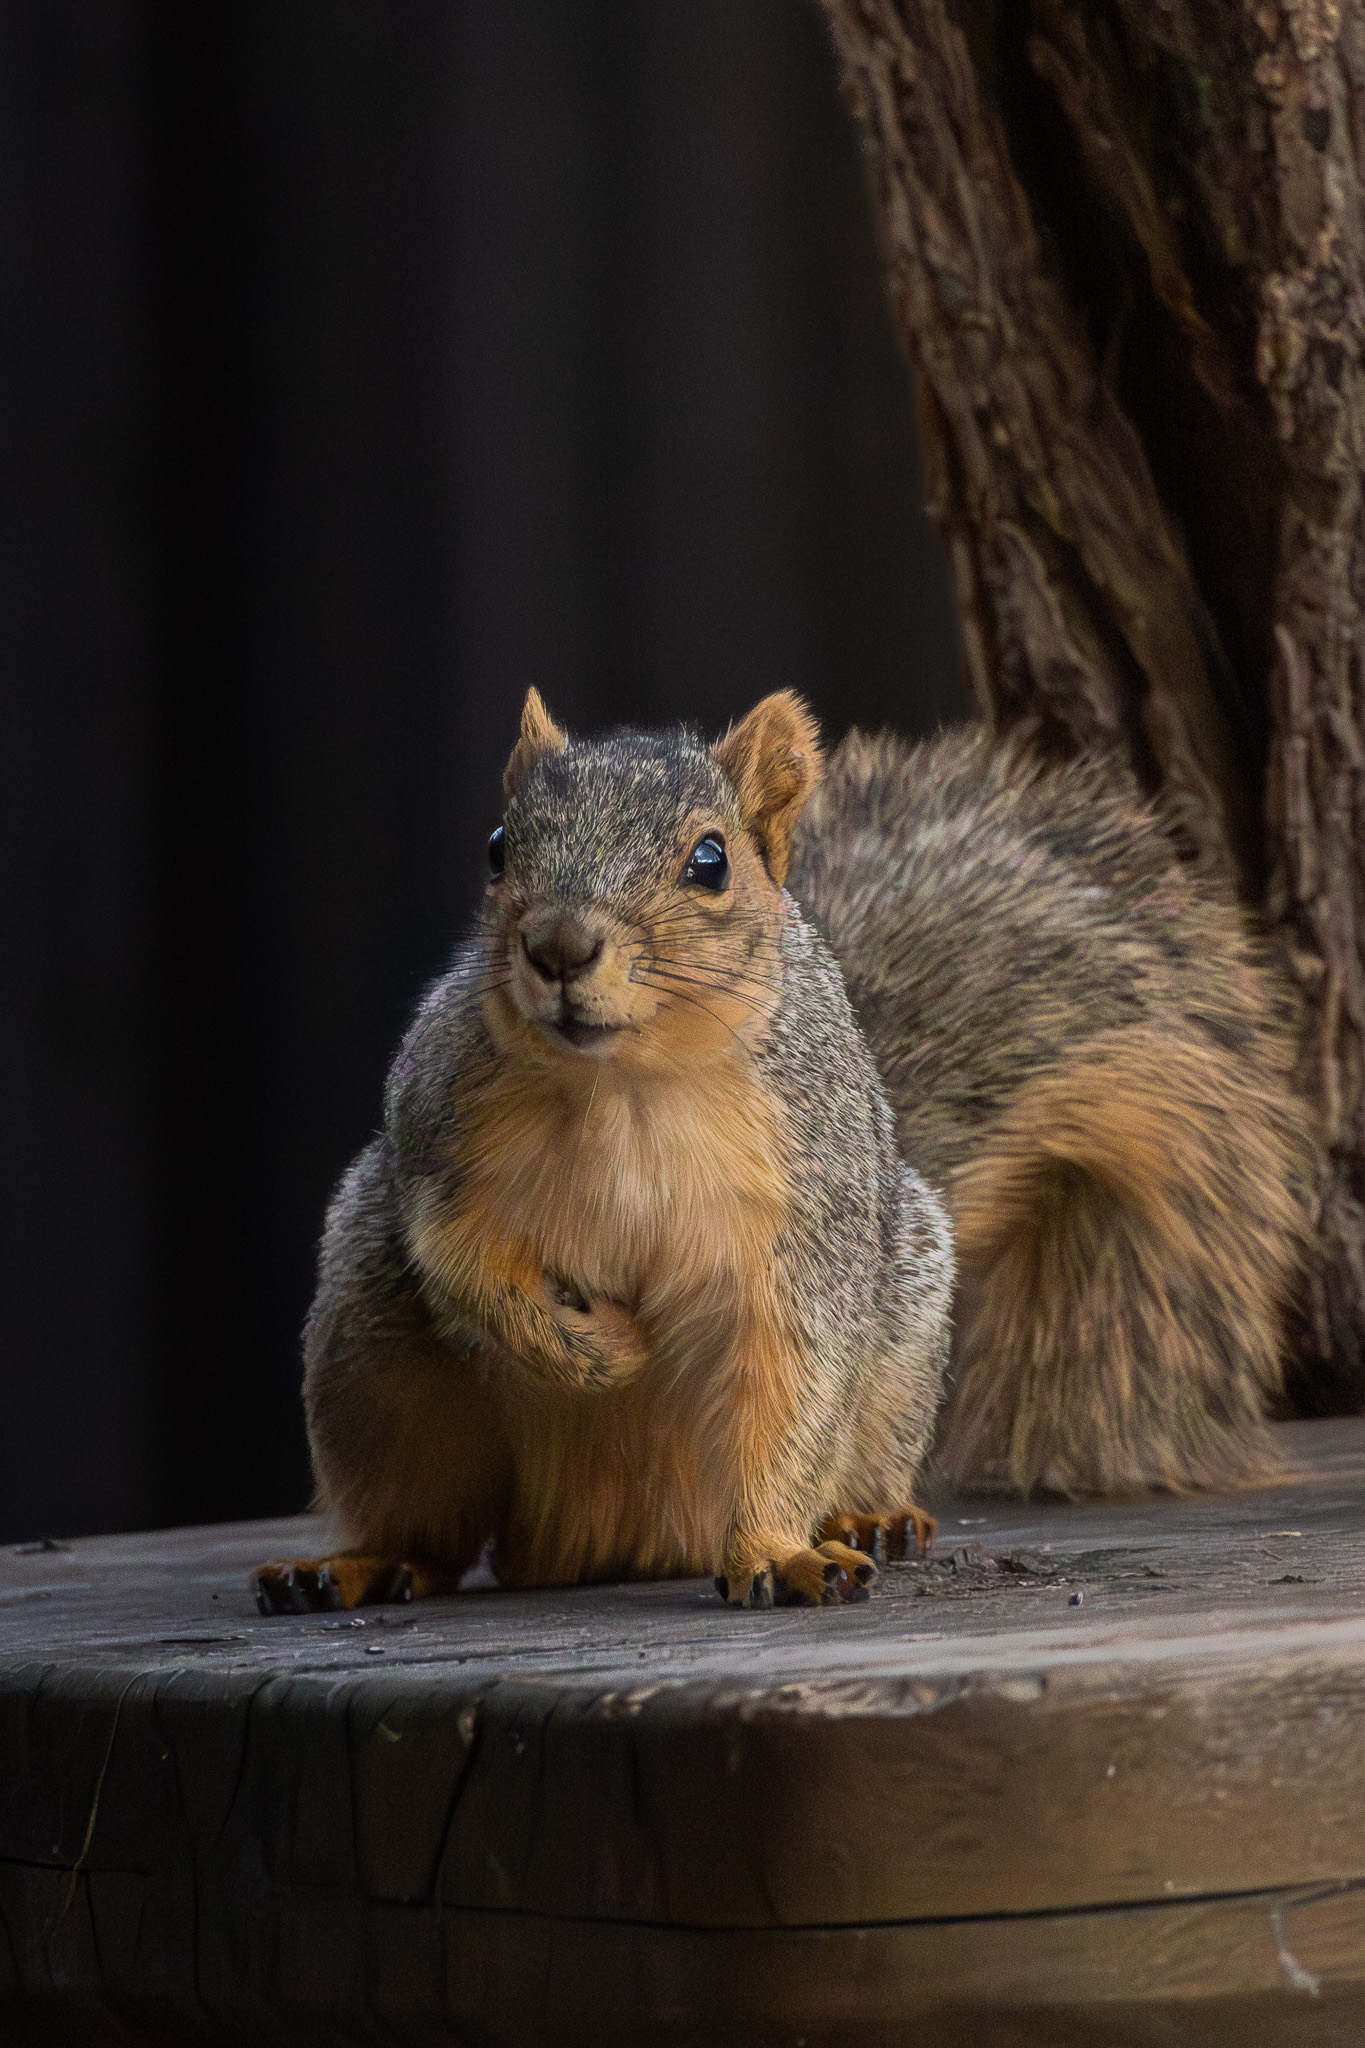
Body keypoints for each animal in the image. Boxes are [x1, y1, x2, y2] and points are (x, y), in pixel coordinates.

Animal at [253, 690, 953, 1614]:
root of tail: (616, 1534)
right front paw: (611, 1350)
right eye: (498, 846)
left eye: (710, 862)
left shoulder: (811, 1214)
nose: (558, 946)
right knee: (428, 1532)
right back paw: (354, 1565)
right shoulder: (436, 1147)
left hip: (901, 1351)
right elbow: (462, 1266)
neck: (625, 1084)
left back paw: (865, 1521)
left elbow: (791, 1385)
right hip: (375, 1369)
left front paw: (775, 1553)